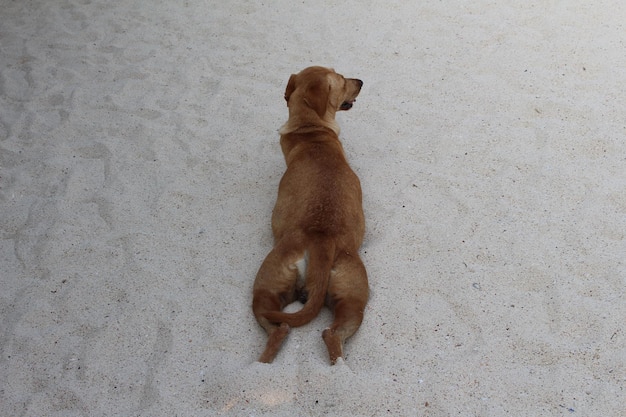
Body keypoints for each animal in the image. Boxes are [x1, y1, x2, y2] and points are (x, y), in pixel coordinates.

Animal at [251, 66, 366, 362]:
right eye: (342, 80)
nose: (361, 81)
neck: (311, 130)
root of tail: (320, 240)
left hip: (268, 284)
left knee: (281, 329)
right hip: (351, 296)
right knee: (330, 333)